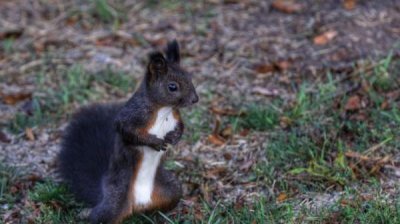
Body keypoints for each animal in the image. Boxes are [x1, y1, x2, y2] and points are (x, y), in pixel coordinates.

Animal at [57, 40, 198, 224]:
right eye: (172, 87)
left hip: (171, 189)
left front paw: (173, 137)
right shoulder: (132, 115)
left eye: (190, 78)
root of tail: (137, 204)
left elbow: (181, 126)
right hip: (115, 200)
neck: (163, 110)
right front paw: (154, 142)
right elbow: (126, 130)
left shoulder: (175, 116)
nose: (195, 99)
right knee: (101, 216)